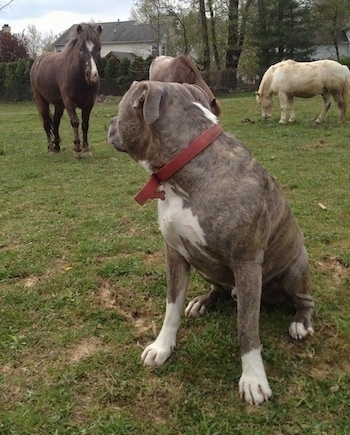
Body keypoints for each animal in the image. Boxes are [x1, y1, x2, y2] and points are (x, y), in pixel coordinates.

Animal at [30, 23, 102, 158]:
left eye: (99, 48)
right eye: (80, 49)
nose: (92, 75)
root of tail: (37, 61)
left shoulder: (89, 103)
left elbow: (85, 124)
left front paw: (86, 148)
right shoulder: (69, 102)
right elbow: (75, 122)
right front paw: (77, 149)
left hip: (59, 104)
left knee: (55, 122)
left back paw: (57, 146)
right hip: (41, 100)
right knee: (46, 123)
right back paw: (51, 149)